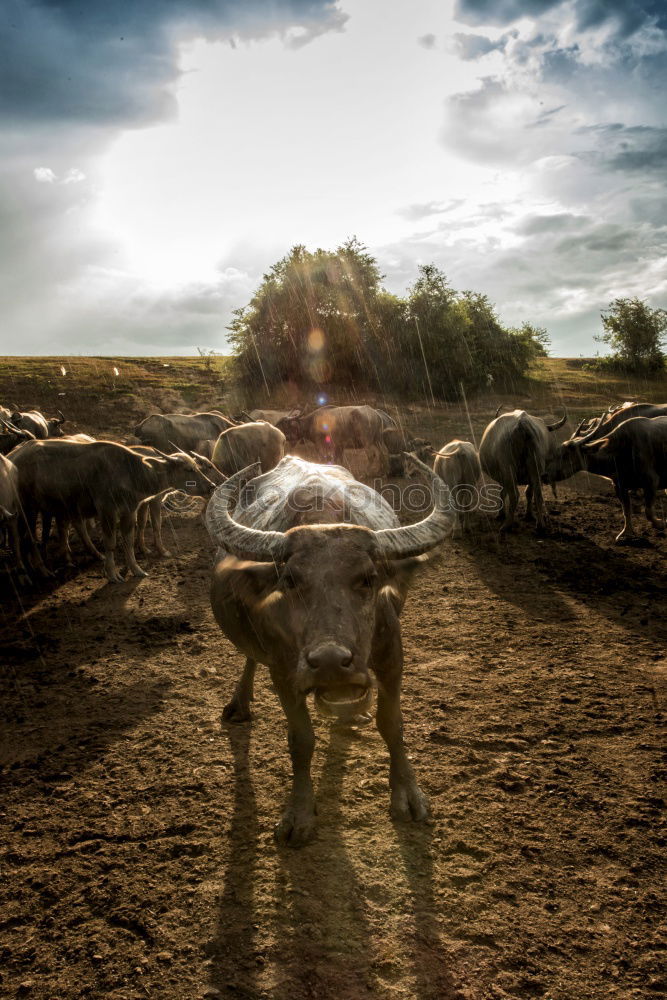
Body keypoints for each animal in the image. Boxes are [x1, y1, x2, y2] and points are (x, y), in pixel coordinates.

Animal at [206, 458, 452, 848]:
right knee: (249, 657)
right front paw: (299, 814)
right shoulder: (284, 672)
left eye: (367, 579)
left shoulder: (392, 655)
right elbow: (301, 740)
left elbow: (391, 723)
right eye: (290, 580)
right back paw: (239, 704)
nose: (331, 663)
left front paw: (408, 795)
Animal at [480, 408, 568, 536]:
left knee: (514, 495)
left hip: (508, 466)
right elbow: (528, 493)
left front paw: (501, 515)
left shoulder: (503, 475)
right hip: (535, 466)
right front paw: (529, 515)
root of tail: (522, 425)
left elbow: (502, 493)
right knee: (538, 494)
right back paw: (540, 525)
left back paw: (507, 525)